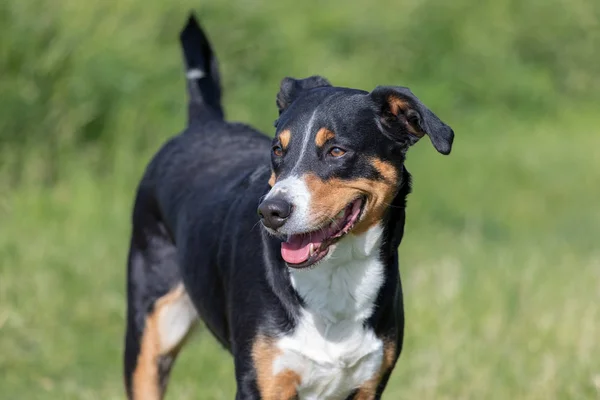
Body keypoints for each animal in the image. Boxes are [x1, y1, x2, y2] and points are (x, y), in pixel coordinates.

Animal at [123, 13, 454, 400]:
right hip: (150, 336)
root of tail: (205, 122)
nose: (271, 212)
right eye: (278, 149)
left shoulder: (369, 385)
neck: (337, 273)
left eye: (336, 151)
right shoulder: (262, 383)